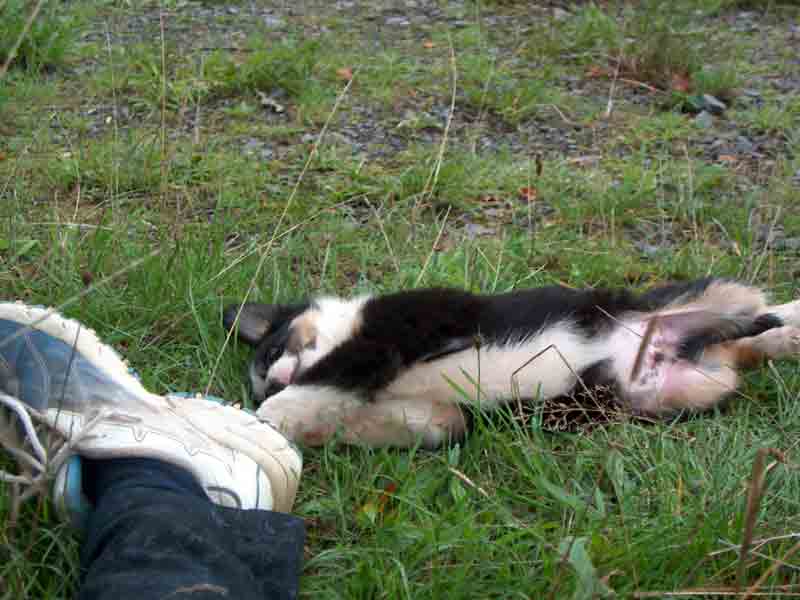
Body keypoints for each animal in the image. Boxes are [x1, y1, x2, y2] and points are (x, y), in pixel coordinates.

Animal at [223, 278, 800, 448]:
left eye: (272, 350)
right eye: (263, 377)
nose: (274, 382)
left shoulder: (401, 325)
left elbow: (337, 368)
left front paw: (277, 415)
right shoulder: (439, 419)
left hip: (700, 298)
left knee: (758, 310)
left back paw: (776, 322)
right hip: (685, 389)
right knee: (745, 345)